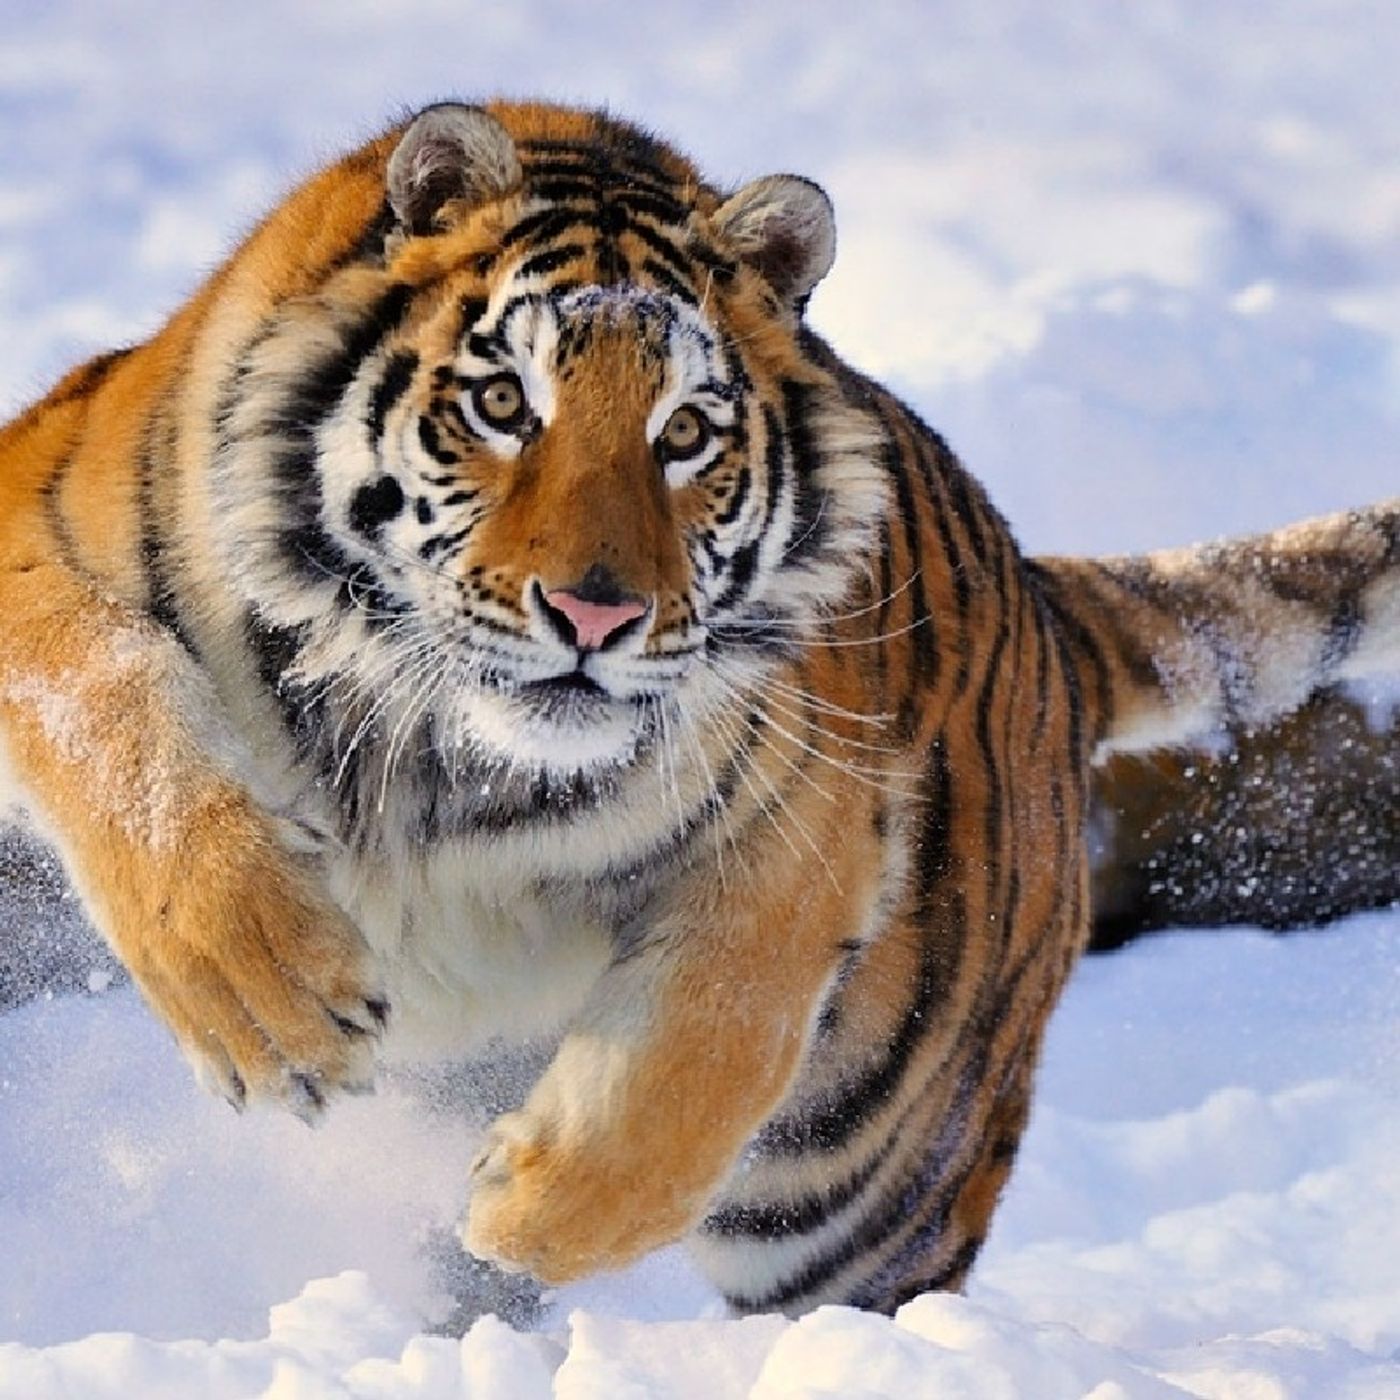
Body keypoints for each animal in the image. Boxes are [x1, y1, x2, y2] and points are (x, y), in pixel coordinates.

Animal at [0, 100, 1396, 1317]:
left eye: (683, 435)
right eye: (501, 405)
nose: (594, 614)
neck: (438, 753)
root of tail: (1044, 605)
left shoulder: (808, 817)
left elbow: (702, 1051)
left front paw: (526, 1208)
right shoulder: (36, 537)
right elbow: (108, 703)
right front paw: (272, 1005)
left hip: (867, 1178)